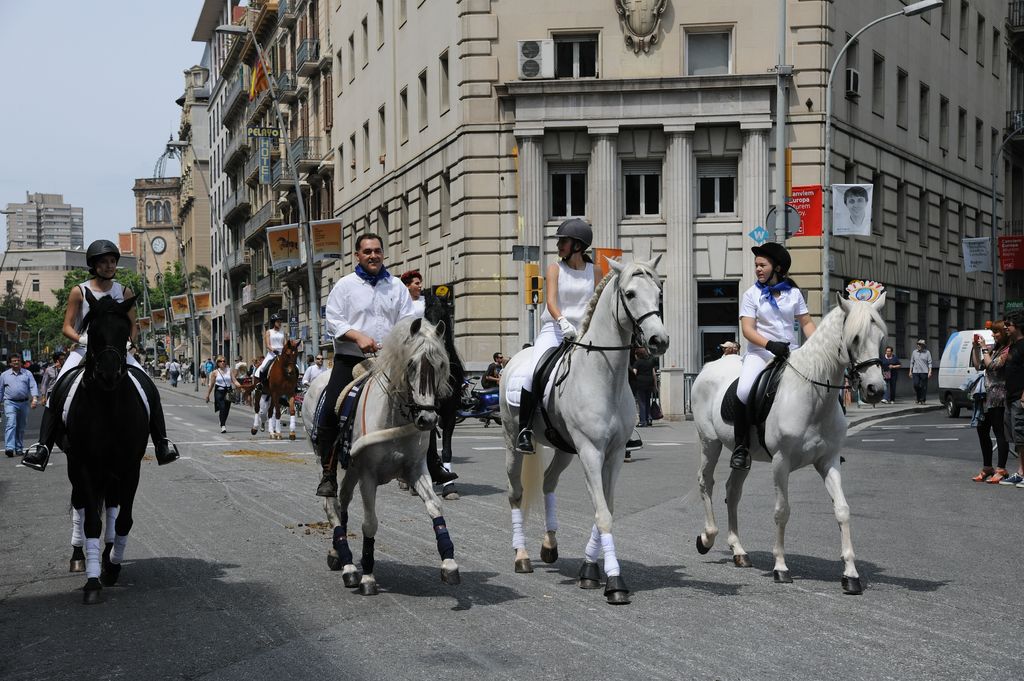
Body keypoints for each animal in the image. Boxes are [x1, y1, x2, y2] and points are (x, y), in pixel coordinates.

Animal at [64, 288, 149, 602]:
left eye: (125, 330)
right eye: (94, 332)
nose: (109, 375)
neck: (109, 405)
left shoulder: (130, 467)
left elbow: (122, 520)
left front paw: (111, 567)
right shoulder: (85, 465)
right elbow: (91, 521)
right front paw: (92, 582)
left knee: (111, 508)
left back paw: (107, 555)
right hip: (75, 467)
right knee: (79, 504)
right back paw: (80, 557)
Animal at [301, 315, 458, 593]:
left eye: (441, 364)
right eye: (411, 364)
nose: (428, 419)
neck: (393, 416)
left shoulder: (416, 470)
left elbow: (435, 507)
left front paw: (449, 562)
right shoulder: (368, 476)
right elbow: (370, 523)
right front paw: (367, 575)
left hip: (352, 468)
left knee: (343, 501)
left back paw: (337, 553)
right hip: (325, 458)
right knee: (332, 503)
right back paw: (350, 567)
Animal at [497, 256, 671, 606]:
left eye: (659, 292)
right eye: (630, 294)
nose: (659, 341)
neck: (605, 376)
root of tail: (514, 359)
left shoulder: (614, 454)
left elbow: (607, 507)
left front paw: (590, 570)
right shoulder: (591, 451)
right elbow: (602, 513)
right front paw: (614, 582)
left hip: (564, 449)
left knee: (548, 482)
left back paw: (549, 546)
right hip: (513, 442)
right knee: (516, 492)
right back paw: (522, 556)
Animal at [696, 292, 888, 593]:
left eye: (881, 337)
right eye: (855, 338)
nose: (875, 390)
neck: (814, 395)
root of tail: (710, 366)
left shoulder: (828, 461)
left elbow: (843, 510)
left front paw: (851, 574)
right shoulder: (781, 462)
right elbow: (782, 511)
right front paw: (780, 567)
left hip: (744, 456)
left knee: (733, 491)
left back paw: (738, 550)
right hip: (710, 443)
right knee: (706, 482)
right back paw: (707, 538)